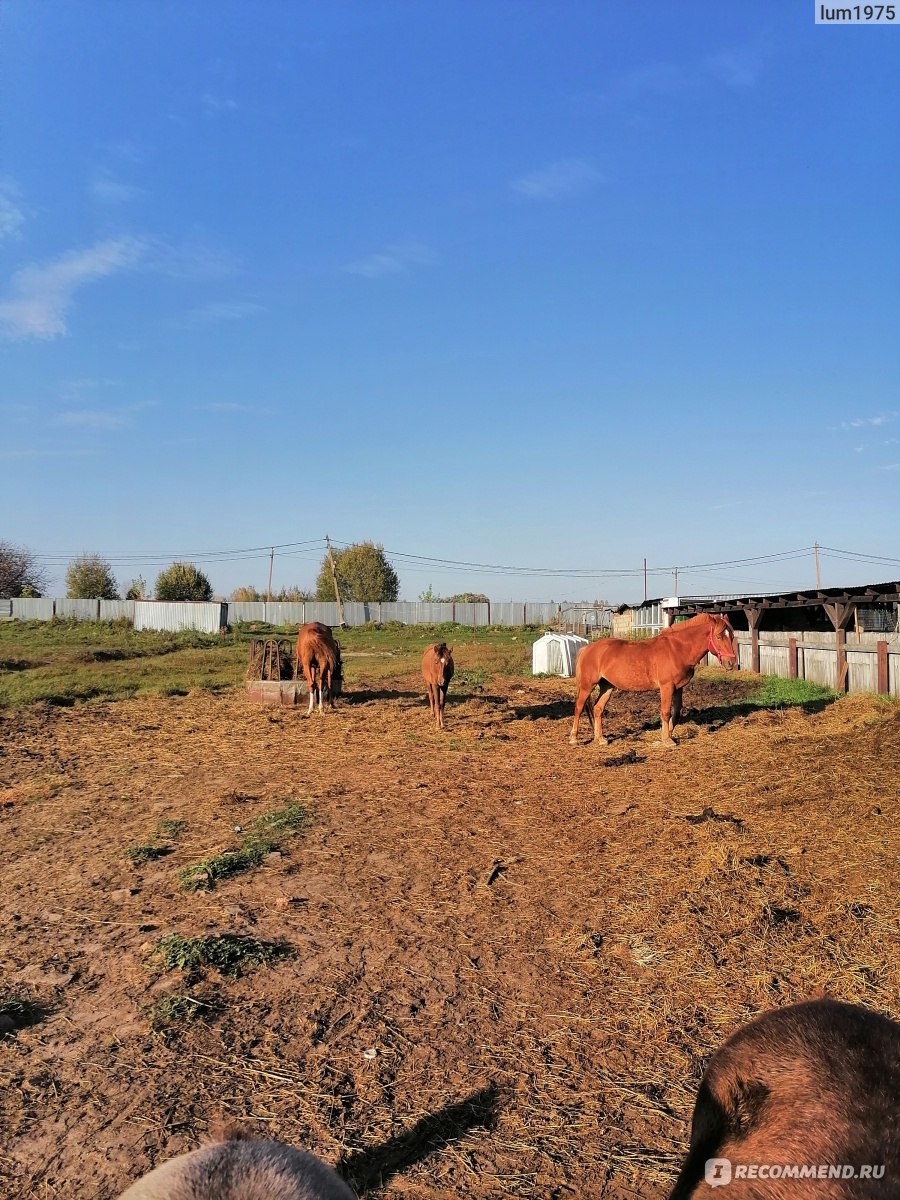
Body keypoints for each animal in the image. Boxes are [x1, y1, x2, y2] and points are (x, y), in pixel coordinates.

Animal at [571, 614, 739, 744]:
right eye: (719, 636)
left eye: (731, 635)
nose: (731, 663)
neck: (677, 650)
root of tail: (587, 648)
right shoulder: (666, 687)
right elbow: (665, 712)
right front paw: (667, 740)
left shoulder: (678, 688)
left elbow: (676, 712)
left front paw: (668, 734)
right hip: (587, 686)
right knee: (579, 707)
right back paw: (574, 738)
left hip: (607, 686)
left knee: (597, 709)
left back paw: (600, 739)